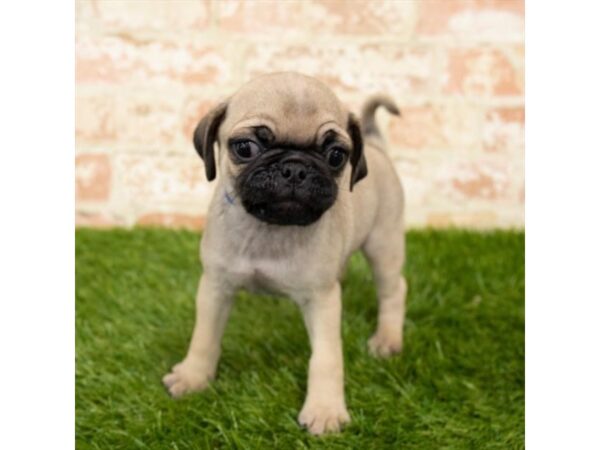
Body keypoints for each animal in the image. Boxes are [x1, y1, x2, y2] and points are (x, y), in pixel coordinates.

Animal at [164, 74, 408, 436]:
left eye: (336, 155)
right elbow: (204, 337)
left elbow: (326, 358)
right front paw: (193, 377)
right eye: (245, 148)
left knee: (394, 289)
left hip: (383, 243)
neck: (270, 227)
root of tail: (377, 147)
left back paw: (387, 339)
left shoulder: (322, 300)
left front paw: (325, 409)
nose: (294, 168)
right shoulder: (215, 286)